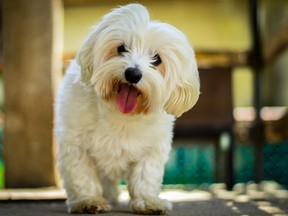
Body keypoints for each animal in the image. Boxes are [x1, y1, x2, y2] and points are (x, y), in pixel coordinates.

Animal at [55, 3, 200, 214]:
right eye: (121, 48)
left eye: (157, 59)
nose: (133, 73)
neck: (122, 114)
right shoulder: (75, 143)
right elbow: (82, 175)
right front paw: (88, 200)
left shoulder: (152, 148)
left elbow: (146, 175)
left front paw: (148, 201)